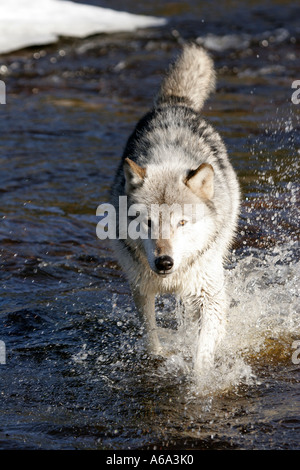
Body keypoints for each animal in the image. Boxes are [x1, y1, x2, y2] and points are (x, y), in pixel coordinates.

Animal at [109, 42, 239, 376]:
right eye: (148, 223)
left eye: (182, 223)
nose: (164, 262)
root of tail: (173, 104)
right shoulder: (140, 288)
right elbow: (150, 334)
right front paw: (158, 357)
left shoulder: (209, 295)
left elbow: (203, 348)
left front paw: (200, 377)